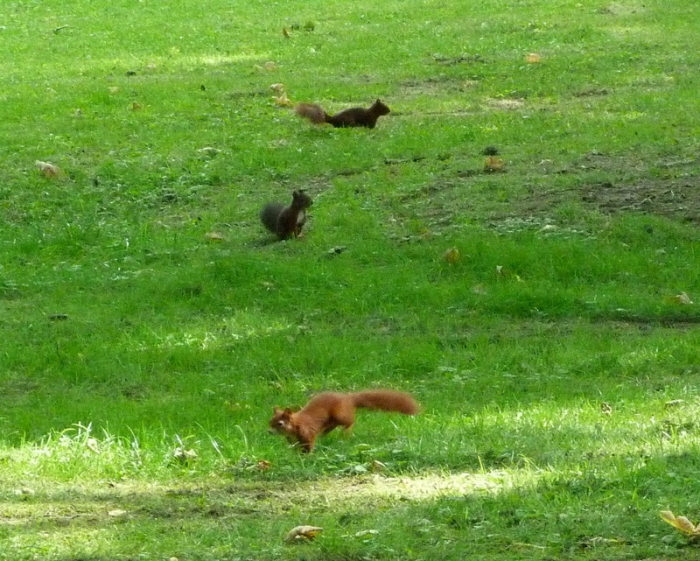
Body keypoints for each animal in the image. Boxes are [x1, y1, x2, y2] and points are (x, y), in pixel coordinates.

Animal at [269, 389, 419, 452]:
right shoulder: (292, 440)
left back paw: (346, 431)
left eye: (280, 424)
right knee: (330, 427)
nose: (269, 432)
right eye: (270, 421)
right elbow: (294, 447)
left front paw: (307, 456)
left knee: (350, 421)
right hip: (330, 421)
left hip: (340, 415)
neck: (295, 425)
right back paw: (325, 436)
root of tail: (348, 398)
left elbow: (309, 445)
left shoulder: (307, 433)